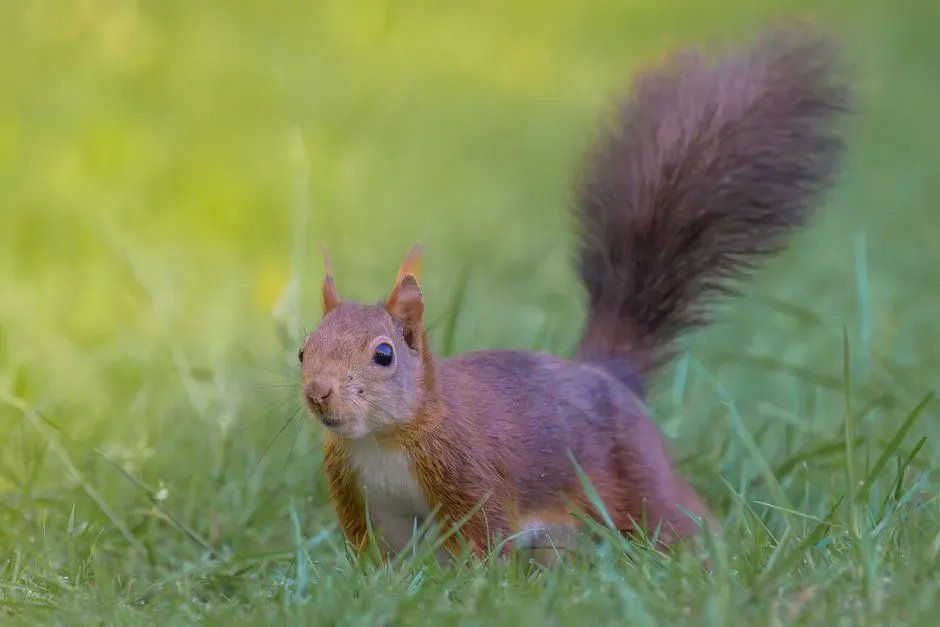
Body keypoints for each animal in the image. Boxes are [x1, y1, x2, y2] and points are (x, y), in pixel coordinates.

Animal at [297, 21, 852, 565]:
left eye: (384, 354)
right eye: (303, 350)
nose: (318, 391)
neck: (380, 441)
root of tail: (609, 378)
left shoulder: (473, 478)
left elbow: (483, 543)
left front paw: (471, 582)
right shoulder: (371, 507)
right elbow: (381, 561)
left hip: (642, 480)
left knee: (681, 520)